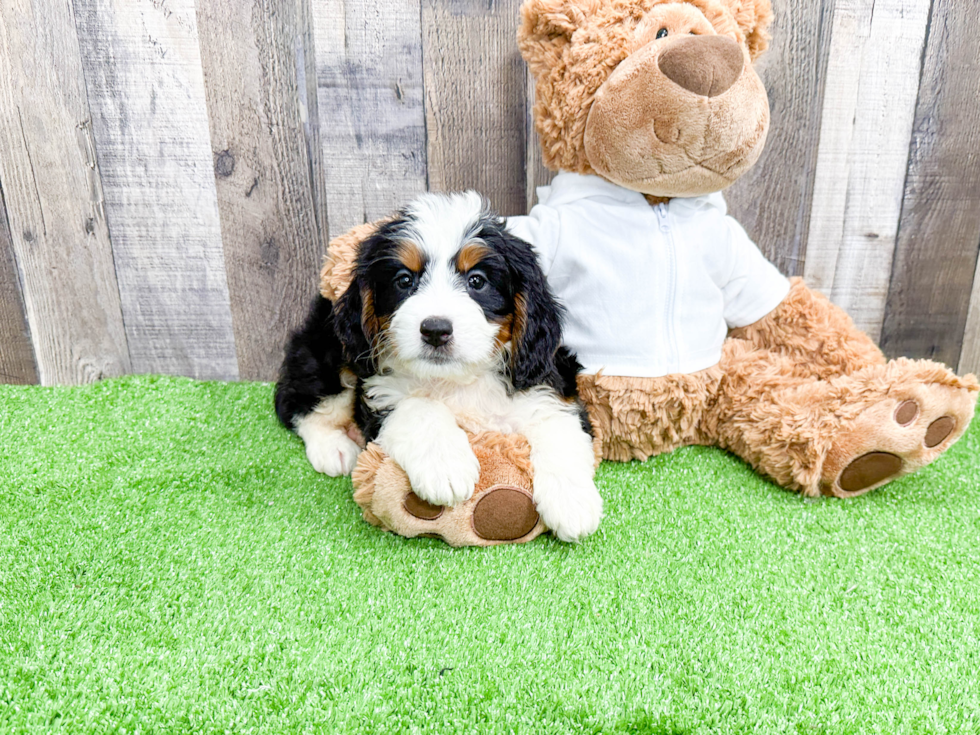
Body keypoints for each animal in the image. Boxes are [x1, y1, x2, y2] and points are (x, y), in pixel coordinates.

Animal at [272, 193, 600, 544]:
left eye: (477, 281)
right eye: (404, 280)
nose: (435, 330)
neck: (458, 379)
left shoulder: (546, 379)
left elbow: (558, 426)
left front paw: (573, 503)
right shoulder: (379, 389)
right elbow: (418, 407)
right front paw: (445, 465)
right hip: (329, 352)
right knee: (300, 402)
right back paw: (333, 448)